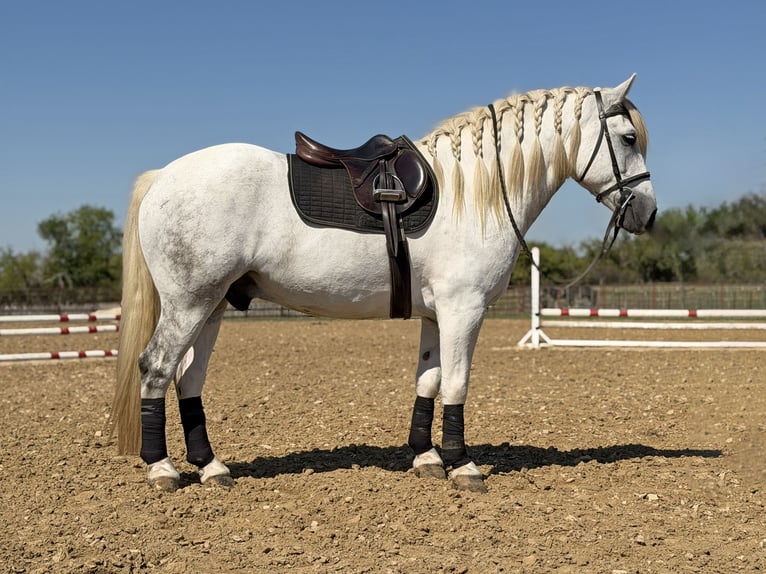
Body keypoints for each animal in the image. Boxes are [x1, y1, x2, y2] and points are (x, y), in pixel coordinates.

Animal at [111, 74, 656, 493]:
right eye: (629, 138)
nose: (647, 214)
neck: (470, 193)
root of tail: (164, 177)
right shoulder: (463, 310)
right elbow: (456, 383)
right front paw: (462, 464)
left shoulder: (438, 313)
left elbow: (428, 380)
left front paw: (426, 457)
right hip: (189, 303)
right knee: (156, 368)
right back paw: (162, 469)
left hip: (214, 306)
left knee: (189, 378)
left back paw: (211, 467)